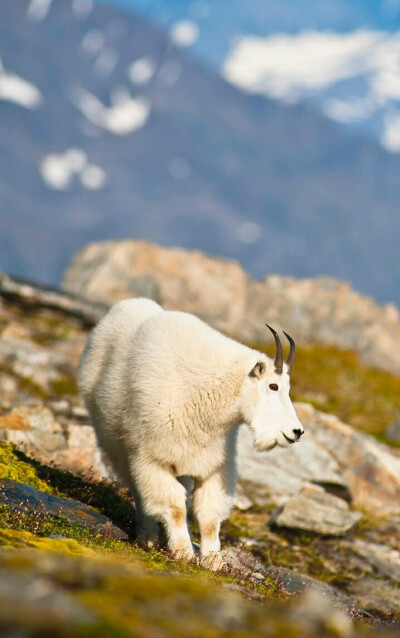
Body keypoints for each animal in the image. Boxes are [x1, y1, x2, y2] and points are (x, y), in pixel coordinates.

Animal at [79, 298, 304, 572]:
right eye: (273, 386)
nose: (296, 432)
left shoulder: (213, 465)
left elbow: (208, 513)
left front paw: (213, 561)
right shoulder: (152, 459)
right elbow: (174, 506)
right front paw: (183, 552)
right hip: (119, 449)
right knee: (139, 492)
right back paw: (148, 537)